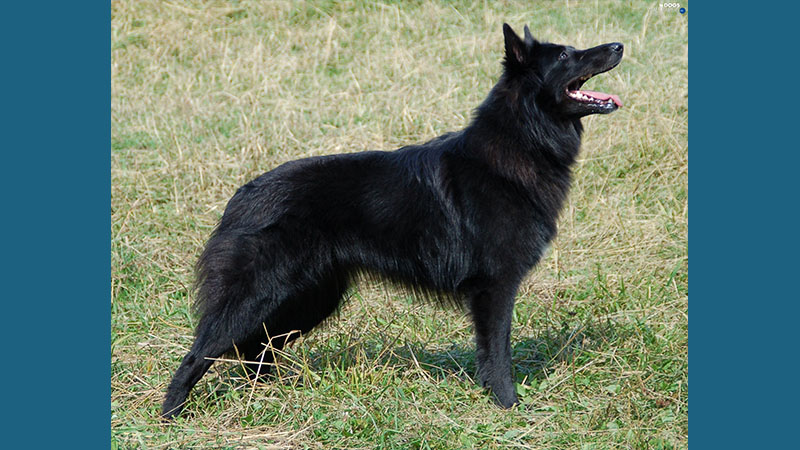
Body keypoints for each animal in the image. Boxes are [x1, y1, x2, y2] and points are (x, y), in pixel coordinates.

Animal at [162, 23, 624, 418]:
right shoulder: (495, 288)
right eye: (565, 55)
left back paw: (268, 397)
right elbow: (498, 353)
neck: (522, 139)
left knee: (256, 349)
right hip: (262, 297)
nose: (618, 45)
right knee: (204, 350)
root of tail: (244, 195)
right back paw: (172, 413)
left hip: (311, 299)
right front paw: (508, 405)